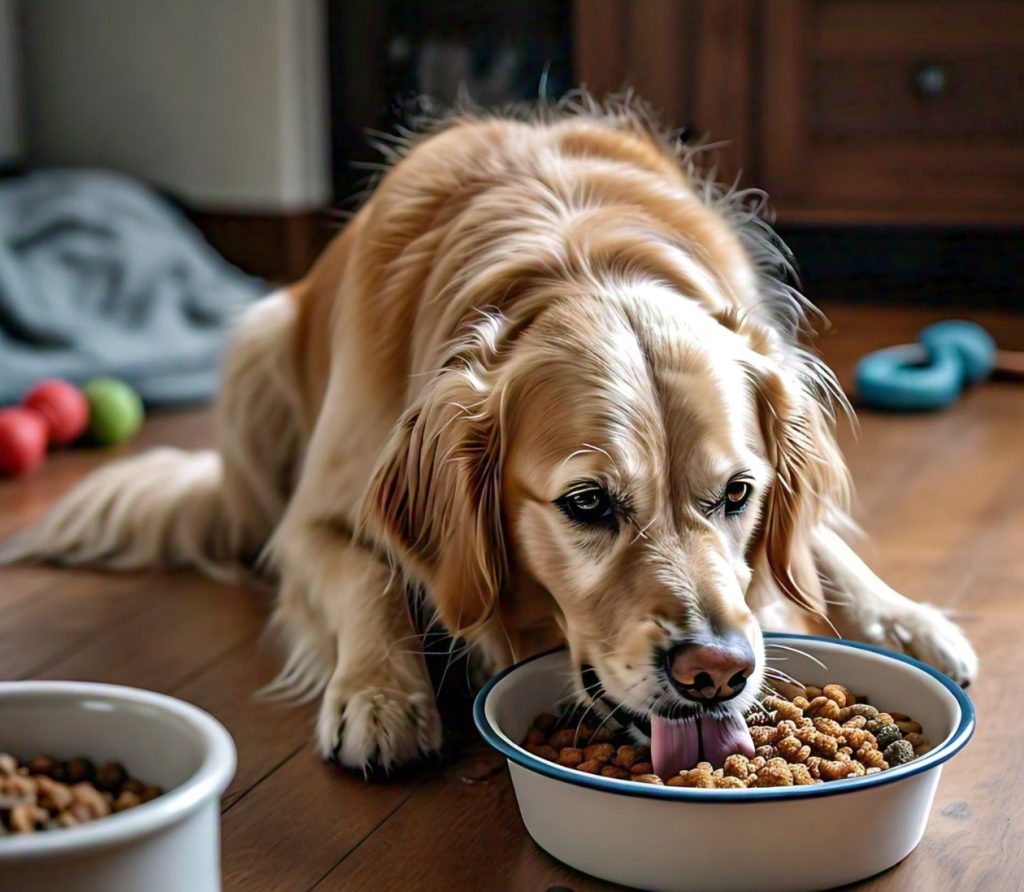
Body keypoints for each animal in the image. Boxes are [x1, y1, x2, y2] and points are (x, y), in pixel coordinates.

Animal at [0, 94, 974, 770]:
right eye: (587, 504)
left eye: (738, 494)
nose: (717, 672)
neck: (573, 254)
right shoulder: (309, 520)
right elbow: (367, 574)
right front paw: (381, 697)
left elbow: (812, 548)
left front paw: (901, 620)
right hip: (255, 350)